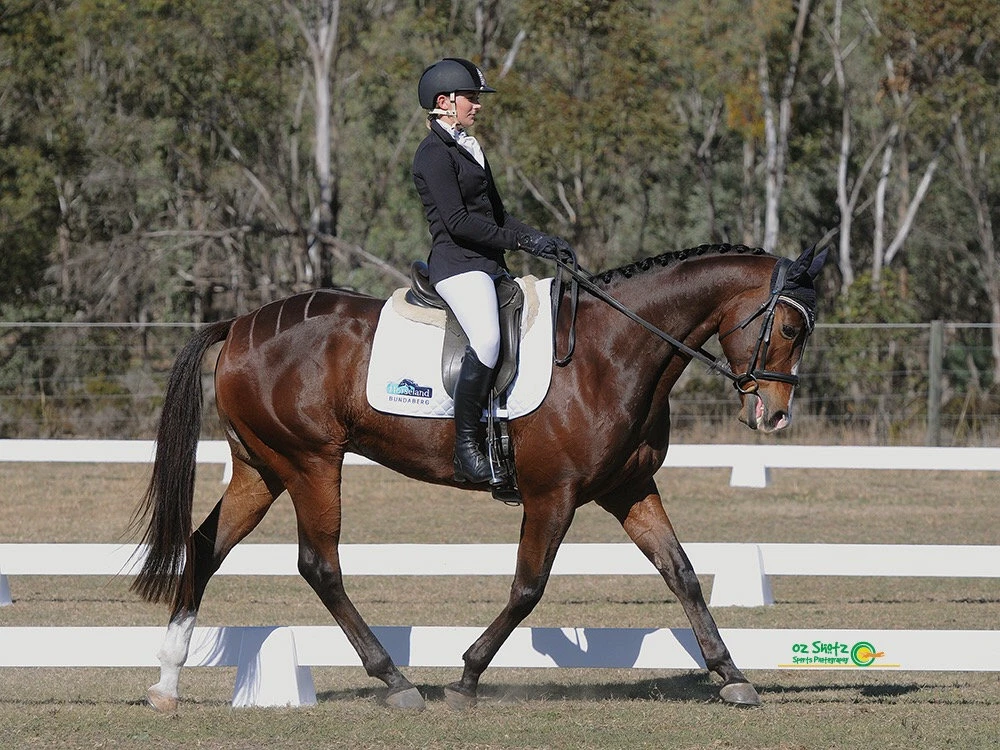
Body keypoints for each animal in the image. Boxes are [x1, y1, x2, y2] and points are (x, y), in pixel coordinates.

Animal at [131, 242, 827, 713]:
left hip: (262, 468)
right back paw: (396, 681)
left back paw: (166, 683)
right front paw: (466, 677)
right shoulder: (553, 495)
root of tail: (239, 325)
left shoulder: (627, 489)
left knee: (204, 548)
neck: (612, 351)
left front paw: (732, 675)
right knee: (318, 565)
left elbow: (680, 572)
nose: (774, 414)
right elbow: (528, 587)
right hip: (311, 462)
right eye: (790, 327)